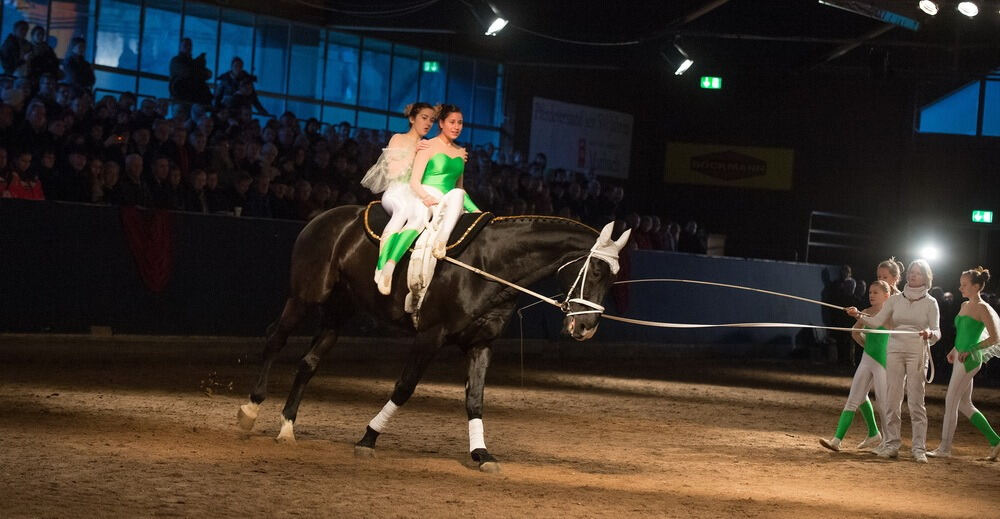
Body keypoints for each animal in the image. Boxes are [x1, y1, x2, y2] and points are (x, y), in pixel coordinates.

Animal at [235, 205, 628, 474]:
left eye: (613, 278)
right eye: (594, 270)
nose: (586, 328)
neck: (491, 264)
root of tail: (323, 219)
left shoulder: (481, 344)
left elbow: (475, 400)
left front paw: (481, 454)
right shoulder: (430, 336)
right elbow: (404, 388)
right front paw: (368, 438)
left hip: (339, 310)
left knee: (309, 363)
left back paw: (287, 426)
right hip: (305, 296)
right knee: (274, 340)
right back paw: (250, 411)